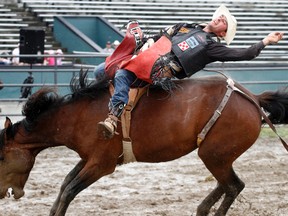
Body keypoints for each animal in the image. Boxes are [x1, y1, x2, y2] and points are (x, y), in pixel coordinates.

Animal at [0, 71, 288, 216]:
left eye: (1, 157)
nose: (4, 192)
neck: (77, 115)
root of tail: (253, 99)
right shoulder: (88, 158)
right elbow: (64, 186)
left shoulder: (101, 164)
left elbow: (70, 189)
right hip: (217, 156)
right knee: (228, 184)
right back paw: (201, 209)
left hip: (214, 154)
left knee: (233, 185)